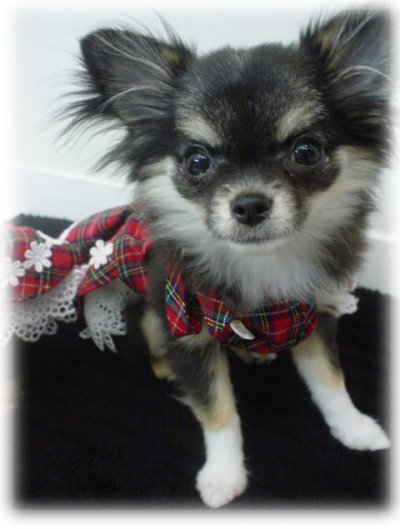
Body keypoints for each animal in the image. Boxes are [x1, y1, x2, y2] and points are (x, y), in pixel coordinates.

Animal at [67, 10, 390, 508]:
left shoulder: (316, 314)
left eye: (306, 151)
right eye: (197, 161)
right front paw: (223, 477)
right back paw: (167, 367)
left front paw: (354, 429)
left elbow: (331, 382)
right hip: (151, 313)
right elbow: (217, 410)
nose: (250, 204)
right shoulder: (188, 330)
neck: (264, 266)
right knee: (152, 336)